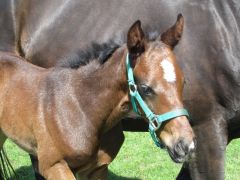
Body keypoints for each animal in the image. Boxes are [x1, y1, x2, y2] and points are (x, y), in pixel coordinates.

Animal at [0, 0, 240, 180]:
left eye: (183, 82)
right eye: (146, 88)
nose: (185, 144)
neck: (78, 104)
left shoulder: (97, 167)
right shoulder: (208, 128)